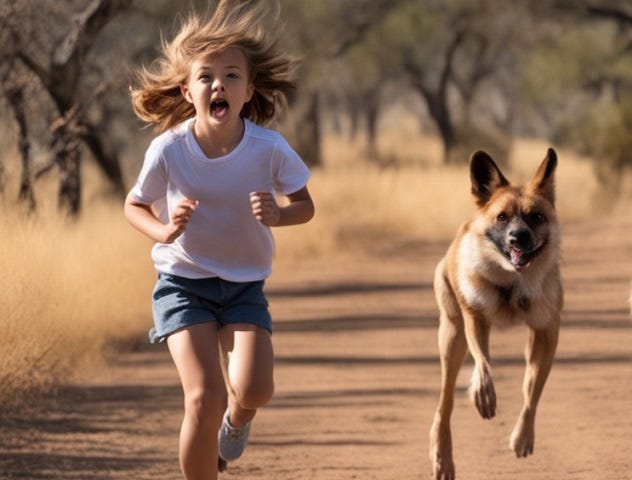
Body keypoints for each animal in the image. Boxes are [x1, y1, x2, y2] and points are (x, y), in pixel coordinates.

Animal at [430, 148, 564, 478]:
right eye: (502, 217)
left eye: (536, 217)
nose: (518, 238)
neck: (512, 283)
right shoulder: (474, 319)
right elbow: (485, 366)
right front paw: (484, 396)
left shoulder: (546, 333)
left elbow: (532, 390)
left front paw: (522, 438)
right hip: (452, 337)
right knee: (445, 402)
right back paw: (443, 457)